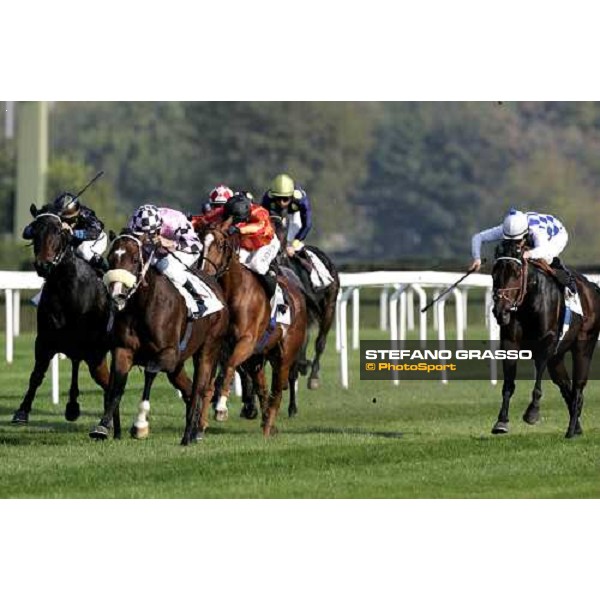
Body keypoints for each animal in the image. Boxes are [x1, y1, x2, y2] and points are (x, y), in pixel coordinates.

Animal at [11, 205, 112, 426]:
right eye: (35, 231)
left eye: (59, 232)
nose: (43, 265)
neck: (66, 289)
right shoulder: (45, 340)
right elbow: (36, 375)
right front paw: (22, 411)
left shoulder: (92, 349)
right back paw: (73, 406)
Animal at [89, 233, 227, 446]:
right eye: (110, 259)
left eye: (135, 259)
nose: (117, 294)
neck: (142, 306)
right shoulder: (123, 350)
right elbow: (117, 387)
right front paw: (102, 427)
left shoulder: (168, 353)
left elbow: (150, 372)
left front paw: (140, 425)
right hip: (178, 366)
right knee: (188, 390)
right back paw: (193, 432)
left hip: (208, 350)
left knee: (199, 389)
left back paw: (189, 434)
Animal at [198, 220, 310, 436]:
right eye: (200, 243)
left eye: (220, 245)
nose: (203, 273)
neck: (236, 292)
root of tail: (298, 295)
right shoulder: (219, 345)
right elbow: (210, 382)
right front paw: (200, 424)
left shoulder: (246, 342)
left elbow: (228, 367)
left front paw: (221, 408)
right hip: (257, 358)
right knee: (263, 388)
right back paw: (267, 422)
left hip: (284, 356)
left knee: (277, 391)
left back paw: (268, 427)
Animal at [490, 237, 600, 438]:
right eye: (494, 272)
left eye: (517, 272)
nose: (500, 311)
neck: (529, 301)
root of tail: (593, 288)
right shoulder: (510, 342)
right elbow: (508, 383)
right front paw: (501, 421)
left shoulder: (547, 341)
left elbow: (538, 375)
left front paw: (532, 412)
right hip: (557, 358)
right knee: (566, 387)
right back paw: (577, 425)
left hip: (584, 346)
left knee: (578, 387)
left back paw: (571, 429)